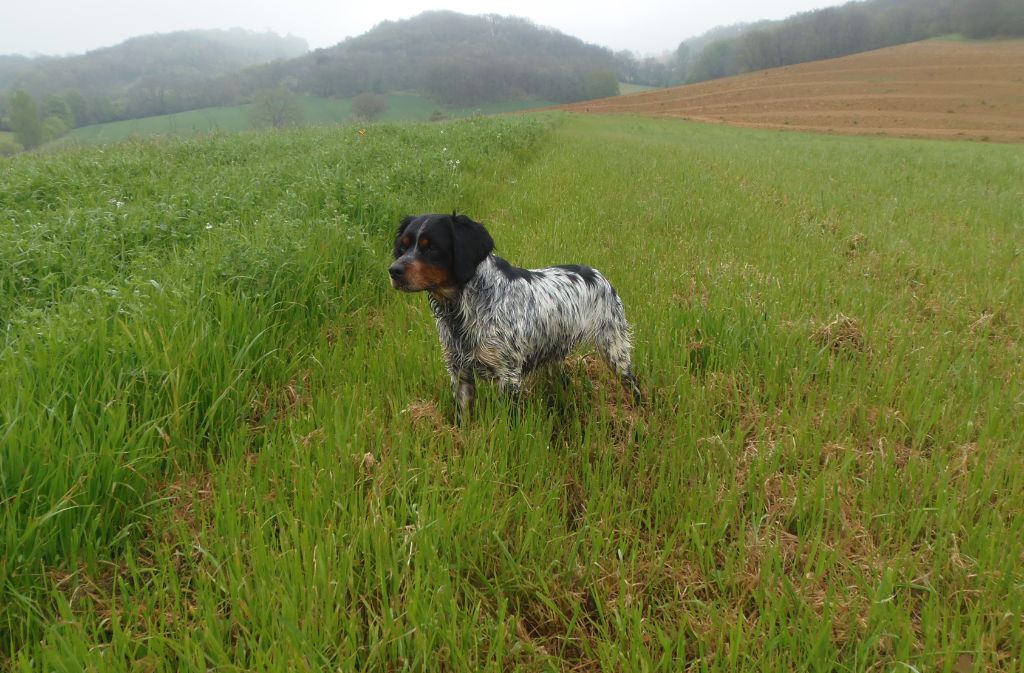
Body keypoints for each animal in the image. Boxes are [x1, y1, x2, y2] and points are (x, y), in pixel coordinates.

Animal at [387, 214, 643, 413]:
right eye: (404, 246)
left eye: (431, 247)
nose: (393, 270)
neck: (464, 307)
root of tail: (598, 274)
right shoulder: (459, 372)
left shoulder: (508, 375)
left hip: (615, 351)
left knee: (634, 386)